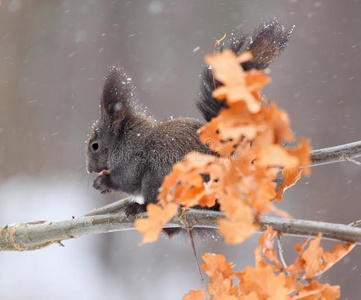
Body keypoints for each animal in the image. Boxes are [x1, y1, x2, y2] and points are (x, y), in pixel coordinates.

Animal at [86, 18, 292, 225]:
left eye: (95, 145)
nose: (89, 169)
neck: (124, 138)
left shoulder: (131, 159)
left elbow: (128, 181)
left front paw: (103, 182)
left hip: (158, 177)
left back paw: (140, 207)